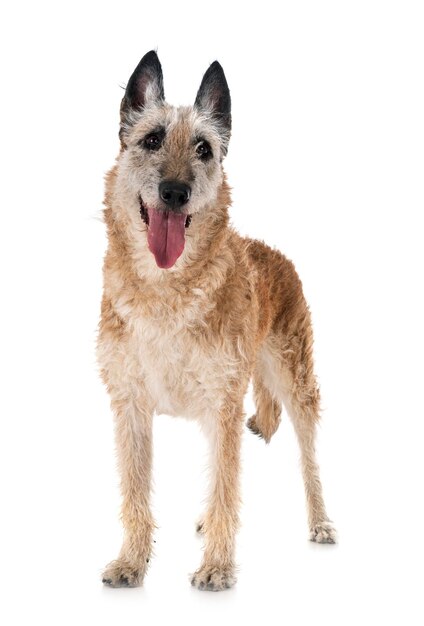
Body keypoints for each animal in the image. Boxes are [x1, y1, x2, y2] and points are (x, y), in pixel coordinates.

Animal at [97, 50, 336, 588]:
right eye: (152, 139)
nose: (174, 191)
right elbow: (136, 493)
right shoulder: (131, 409)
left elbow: (227, 486)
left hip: (297, 381)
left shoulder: (223, 405)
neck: (166, 291)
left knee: (308, 458)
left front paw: (217, 567)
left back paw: (320, 521)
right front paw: (131, 561)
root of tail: (277, 254)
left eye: (204, 148)